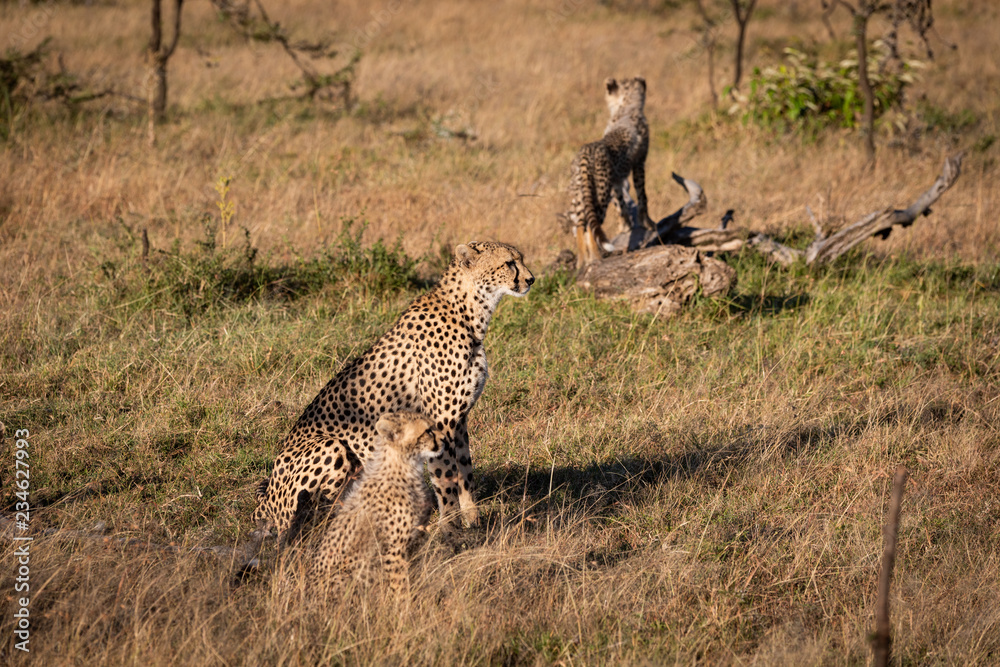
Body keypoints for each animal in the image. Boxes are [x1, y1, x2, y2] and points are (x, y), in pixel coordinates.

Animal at [252, 241, 534, 547]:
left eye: (520, 260)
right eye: (509, 263)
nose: (531, 279)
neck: (470, 312)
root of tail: (263, 503)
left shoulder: (459, 420)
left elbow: (465, 473)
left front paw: (473, 522)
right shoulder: (441, 423)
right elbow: (446, 478)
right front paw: (451, 531)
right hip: (332, 446)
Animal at [311, 411, 440, 597]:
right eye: (428, 431)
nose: (444, 440)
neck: (405, 467)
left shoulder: (417, 538)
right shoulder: (394, 549)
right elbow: (400, 586)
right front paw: (405, 603)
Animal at [567, 76, 654, 269]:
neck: (625, 109)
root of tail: (586, 150)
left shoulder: (616, 179)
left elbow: (620, 203)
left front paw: (625, 226)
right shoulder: (639, 164)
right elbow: (642, 195)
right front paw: (647, 222)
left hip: (580, 194)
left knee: (580, 225)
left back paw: (582, 261)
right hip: (599, 193)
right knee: (591, 227)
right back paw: (596, 258)